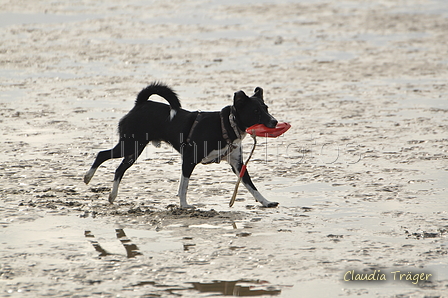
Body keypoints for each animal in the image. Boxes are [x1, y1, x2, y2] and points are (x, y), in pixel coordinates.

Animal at [83, 81, 278, 207]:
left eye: (266, 108)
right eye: (256, 111)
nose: (275, 121)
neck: (226, 125)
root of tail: (141, 104)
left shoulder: (238, 165)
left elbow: (252, 187)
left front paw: (266, 202)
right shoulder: (189, 160)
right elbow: (183, 187)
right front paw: (184, 205)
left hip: (134, 151)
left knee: (119, 169)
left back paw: (112, 195)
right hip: (129, 145)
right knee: (102, 155)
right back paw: (88, 177)